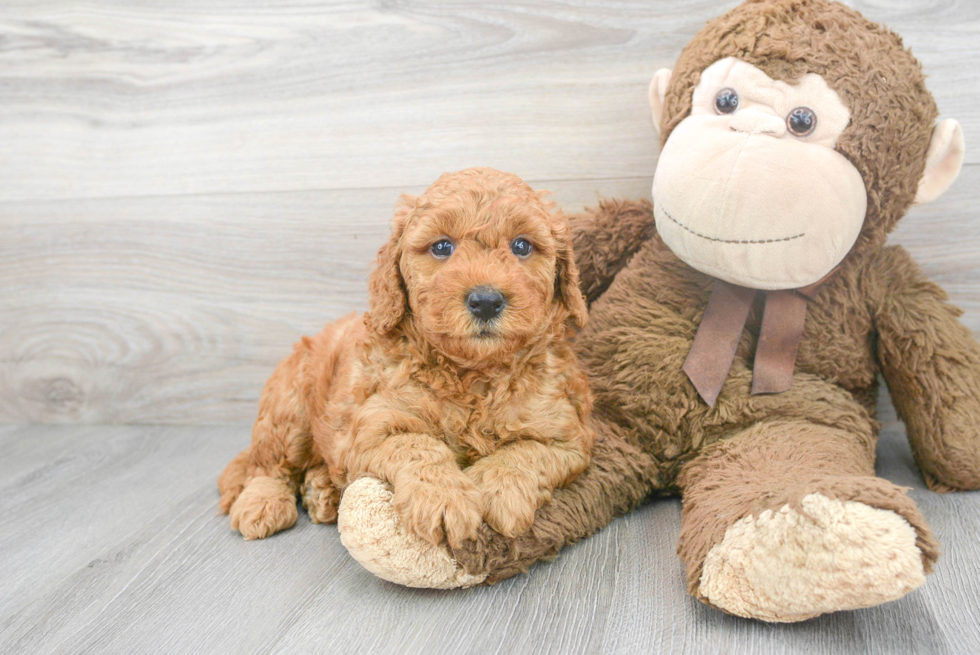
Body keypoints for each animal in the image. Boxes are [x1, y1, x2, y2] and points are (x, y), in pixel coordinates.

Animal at [217, 167, 592, 544]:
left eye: (522, 246)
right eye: (442, 247)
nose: (486, 300)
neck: (472, 375)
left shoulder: (567, 436)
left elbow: (525, 452)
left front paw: (498, 491)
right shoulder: (372, 427)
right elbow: (417, 445)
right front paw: (444, 498)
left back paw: (320, 491)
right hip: (289, 407)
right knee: (268, 464)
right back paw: (263, 503)